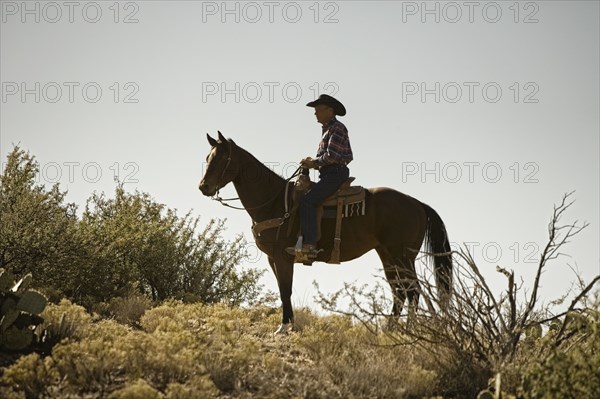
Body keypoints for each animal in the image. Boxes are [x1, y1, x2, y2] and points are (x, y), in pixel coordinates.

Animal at [199, 132, 452, 334]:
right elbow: (283, 291)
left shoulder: (282, 257)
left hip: (403, 256)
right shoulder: (273, 259)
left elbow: (285, 290)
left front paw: (284, 328)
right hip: (387, 255)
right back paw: (390, 331)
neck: (274, 202)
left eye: (222, 159)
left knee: (413, 291)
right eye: (208, 158)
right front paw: (288, 324)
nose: (204, 187)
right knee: (399, 292)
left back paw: (409, 332)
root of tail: (417, 203)